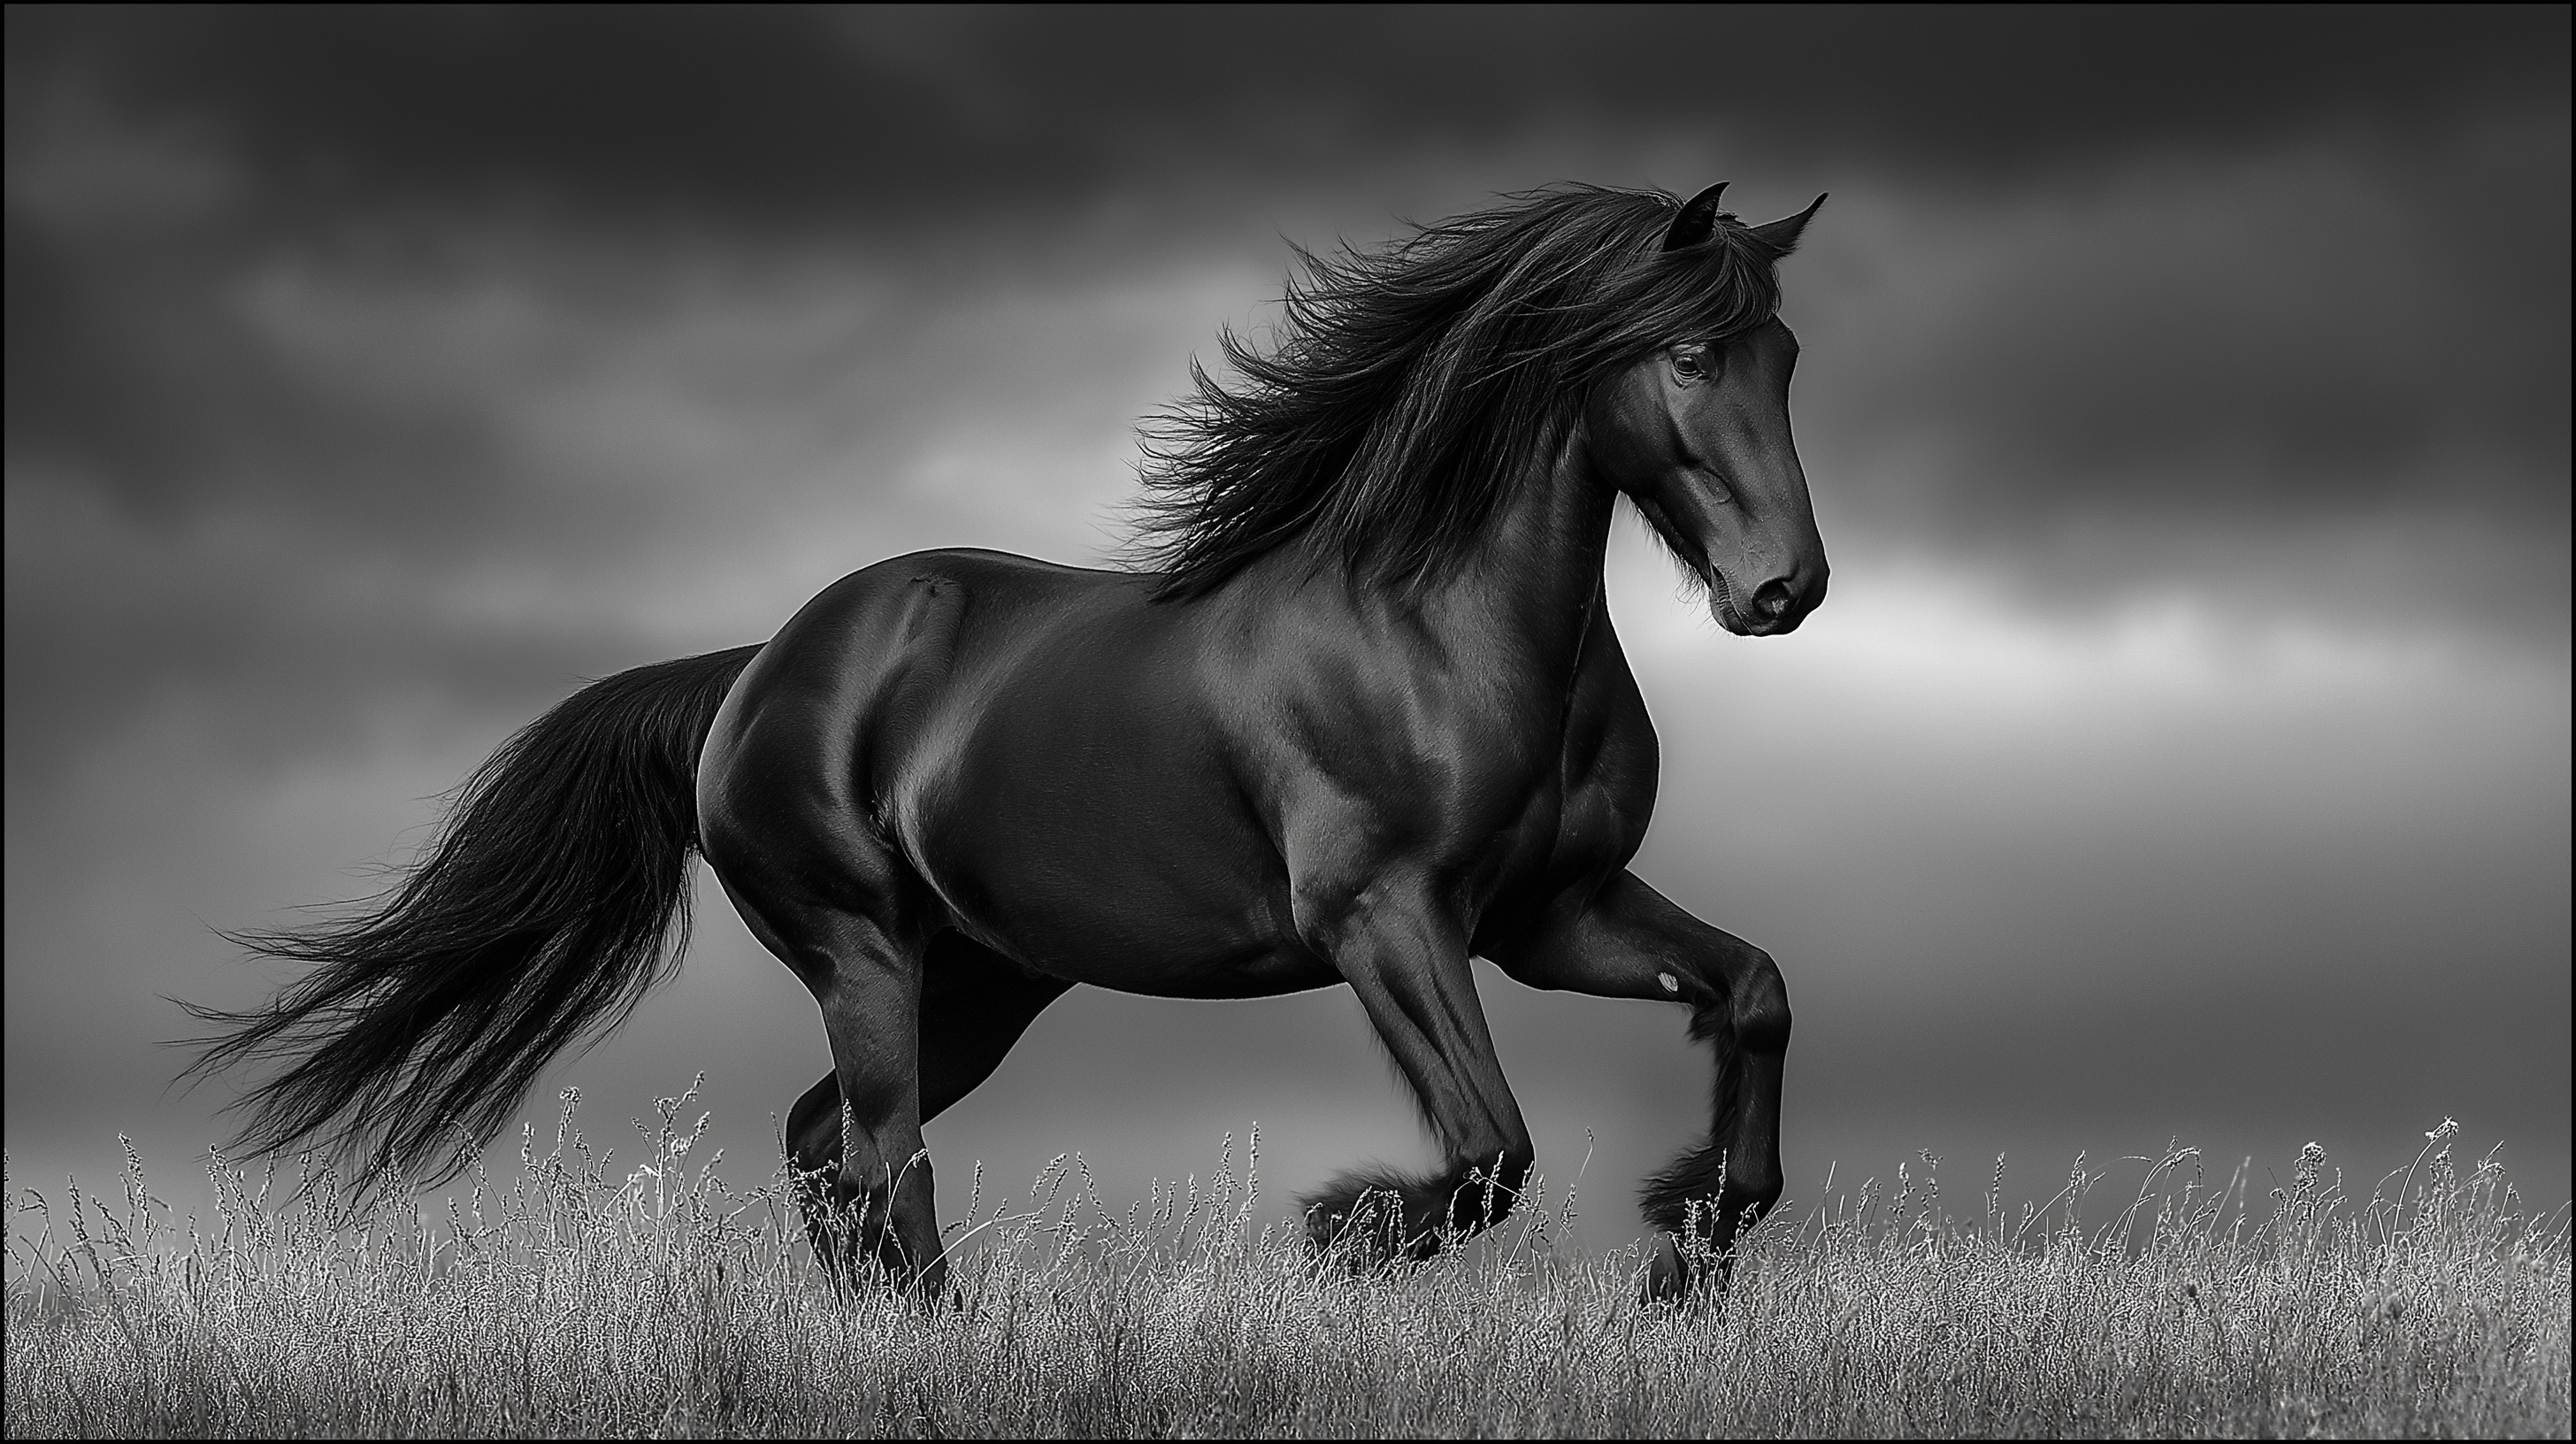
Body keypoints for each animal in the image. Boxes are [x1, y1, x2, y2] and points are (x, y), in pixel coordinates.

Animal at [189, 182, 1830, 1298]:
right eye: (1690, 355)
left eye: (1786, 356)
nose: (1784, 591)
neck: (1440, 631)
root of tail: (755, 670)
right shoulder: (1383, 916)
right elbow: (1490, 1148)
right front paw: (1342, 1229)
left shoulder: (1549, 914)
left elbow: (1751, 994)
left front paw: (1687, 1242)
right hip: (863, 953)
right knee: (882, 1155)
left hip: (983, 979)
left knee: (826, 1148)